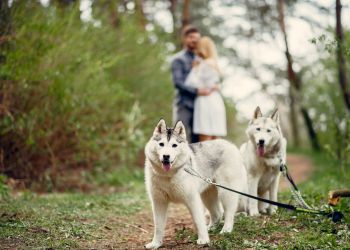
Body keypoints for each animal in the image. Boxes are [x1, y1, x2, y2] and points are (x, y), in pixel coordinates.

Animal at [144, 119, 247, 248]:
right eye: (161, 144)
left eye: (174, 145)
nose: (166, 156)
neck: (168, 175)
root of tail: (231, 145)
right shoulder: (159, 202)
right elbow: (158, 226)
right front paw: (156, 244)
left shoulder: (192, 199)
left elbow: (198, 221)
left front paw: (204, 239)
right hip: (207, 196)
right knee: (217, 214)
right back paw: (211, 228)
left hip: (225, 193)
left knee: (228, 213)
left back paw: (226, 230)